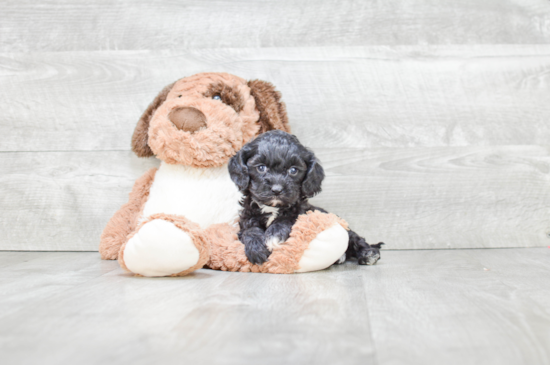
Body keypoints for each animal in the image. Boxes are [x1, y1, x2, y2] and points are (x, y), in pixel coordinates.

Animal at [229, 130, 384, 264]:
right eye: (261, 168)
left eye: (293, 170)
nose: (277, 189)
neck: (272, 208)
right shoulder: (247, 218)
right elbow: (250, 231)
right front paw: (256, 248)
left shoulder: (303, 212)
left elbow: (288, 218)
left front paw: (275, 234)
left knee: (356, 239)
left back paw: (368, 253)